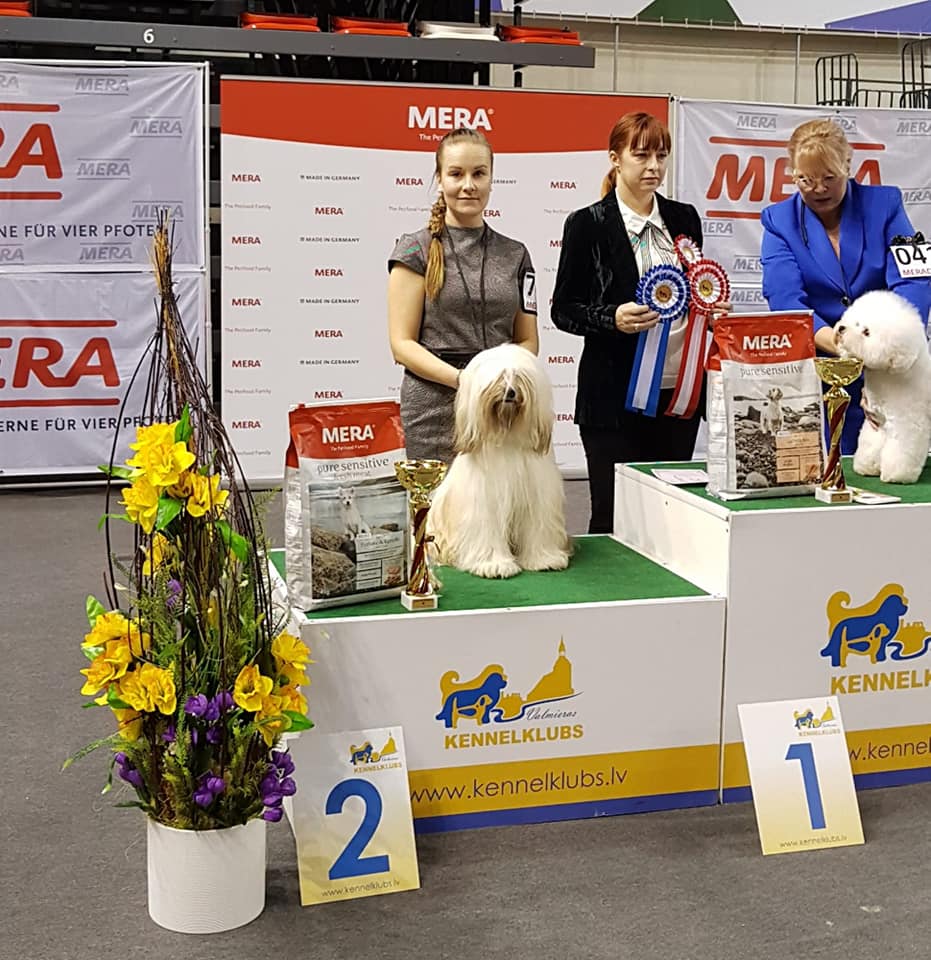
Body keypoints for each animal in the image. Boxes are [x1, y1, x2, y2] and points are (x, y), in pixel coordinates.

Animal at [428, 343, 572, 579]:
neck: (507, 435)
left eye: (518, 376)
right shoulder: (485, 502)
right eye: (499, 378)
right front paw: (493, 564)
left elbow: (537, 528)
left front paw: (544, 559)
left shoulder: (537, 499)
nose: (510, 392)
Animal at [835, 289, 931, 484]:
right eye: (856, 322)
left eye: (866, 332)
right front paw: (867, 467)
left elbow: (901, 450)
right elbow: (872, 444)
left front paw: (896, 475)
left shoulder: (907, 423)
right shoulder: (877, 421)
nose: (841, 329)